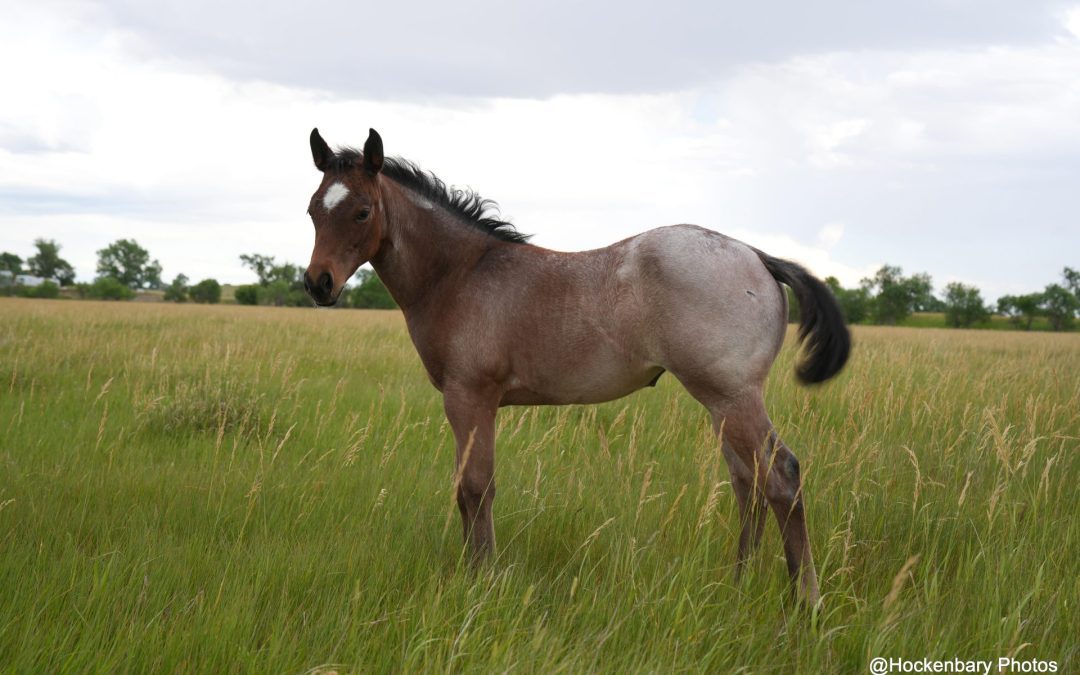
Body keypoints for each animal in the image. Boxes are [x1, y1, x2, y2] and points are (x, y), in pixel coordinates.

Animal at [300, 127, 846, 604]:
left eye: (362, 212)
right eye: (311, 210)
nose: (318, 284)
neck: (460, 274)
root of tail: (756, 255)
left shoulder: (469, 397)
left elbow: (475, 487)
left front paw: (480, 578)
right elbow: (471, 487)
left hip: (731, 398)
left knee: (781, 477)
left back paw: (805, 602)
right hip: (720, 403)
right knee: (747, 483)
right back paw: (736, 586)